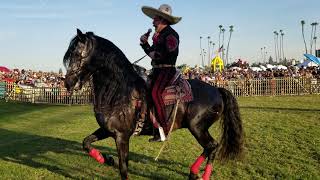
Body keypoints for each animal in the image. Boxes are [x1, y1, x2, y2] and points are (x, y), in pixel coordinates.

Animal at [63, 29, 242, 180]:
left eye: (77, 54)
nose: (68, 83)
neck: (119, 91)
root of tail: (217, 89)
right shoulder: (108, 130)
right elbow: (86, 143)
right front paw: (105, 158)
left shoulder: (122, 136)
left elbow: (123, 168)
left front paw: (110, 160)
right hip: (199, 128)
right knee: (210, 147)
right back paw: (193, 172)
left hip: (197, 127)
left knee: (212, 146)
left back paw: (200, 174)